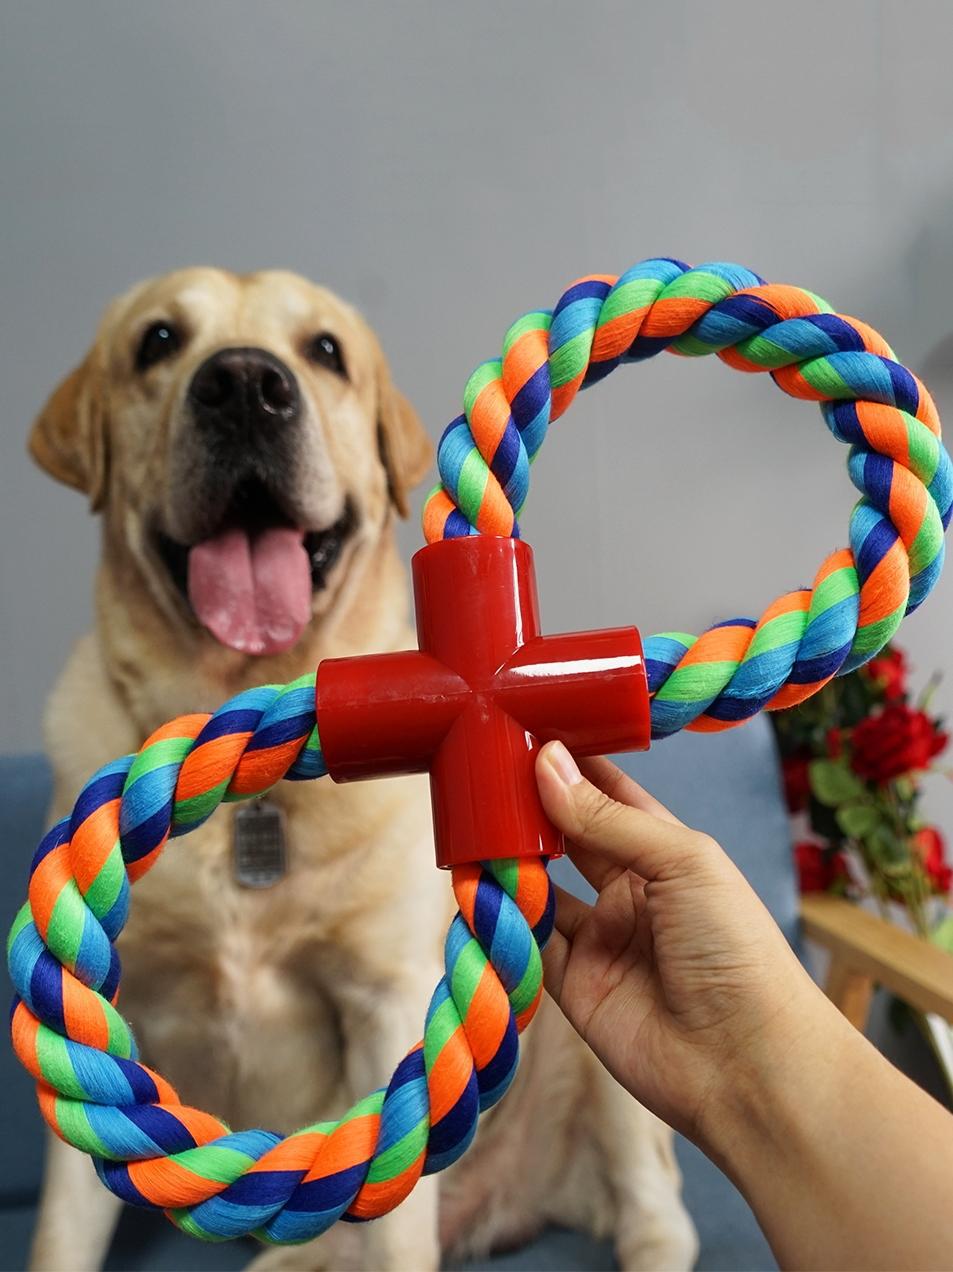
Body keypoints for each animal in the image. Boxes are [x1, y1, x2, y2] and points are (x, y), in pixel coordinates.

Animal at [26, 268, 697, 1272]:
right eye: (157, 342)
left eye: (325, 351)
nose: (244, 386)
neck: (257, 802)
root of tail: (507, 1212)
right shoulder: (98, 1014)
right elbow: (63, 1231)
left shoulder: (384, 998)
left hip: (601, 1062)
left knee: (657, 1213)